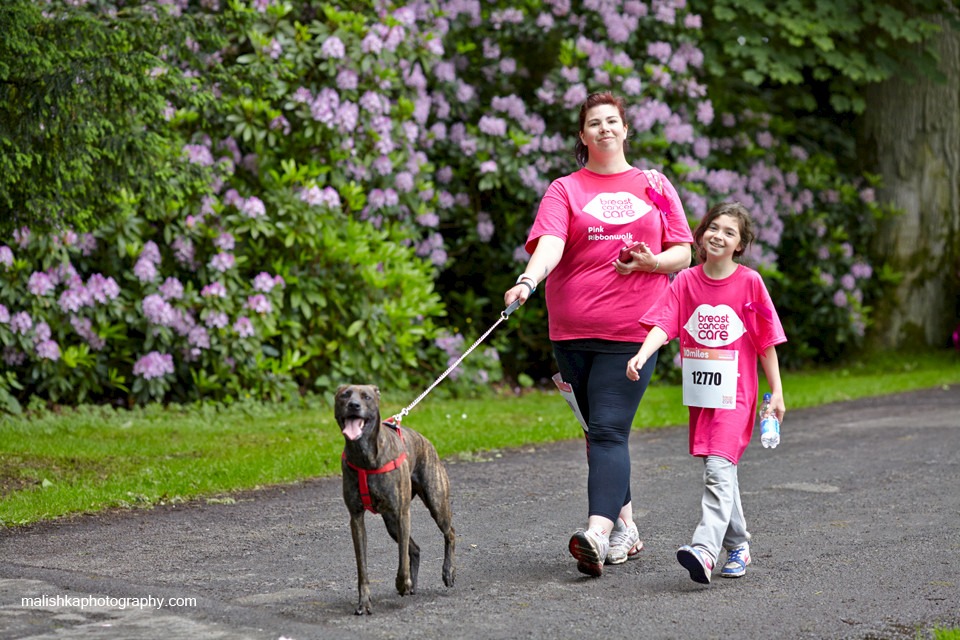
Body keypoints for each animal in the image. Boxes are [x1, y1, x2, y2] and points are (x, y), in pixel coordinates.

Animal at [336, 384, 456, 616]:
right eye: (344, 395)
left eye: (366, 397)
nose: (353, 405)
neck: (365, 457)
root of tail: (426, 441)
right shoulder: (356, 519)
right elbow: (362, 569)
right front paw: (364, 602)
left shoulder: (402, 514)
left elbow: (402, 562)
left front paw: (402, 583)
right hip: (391, 523)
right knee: (415, 549)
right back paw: (414, 586)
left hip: (436, 503)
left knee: (450, 534)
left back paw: (448, 572)